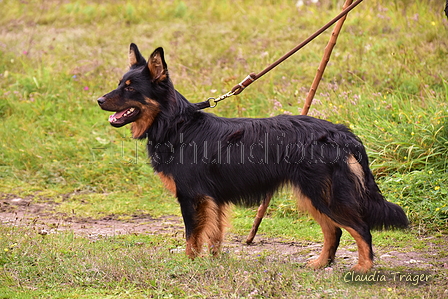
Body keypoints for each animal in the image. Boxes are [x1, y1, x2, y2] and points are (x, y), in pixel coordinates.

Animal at [97, 42, 406, 274]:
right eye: (119, 83)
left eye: (130, 87)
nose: (98, 100)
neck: (176, 124)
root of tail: (341, 132)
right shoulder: (212, 199)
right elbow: (214, 235)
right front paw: (214, 262)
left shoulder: (191, 196)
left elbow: (192, 236)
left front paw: (189, 263)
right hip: (313, 195)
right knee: (335, 231)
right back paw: (320, 263)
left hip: (323, 195)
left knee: (360, 228)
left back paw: (364, 268)